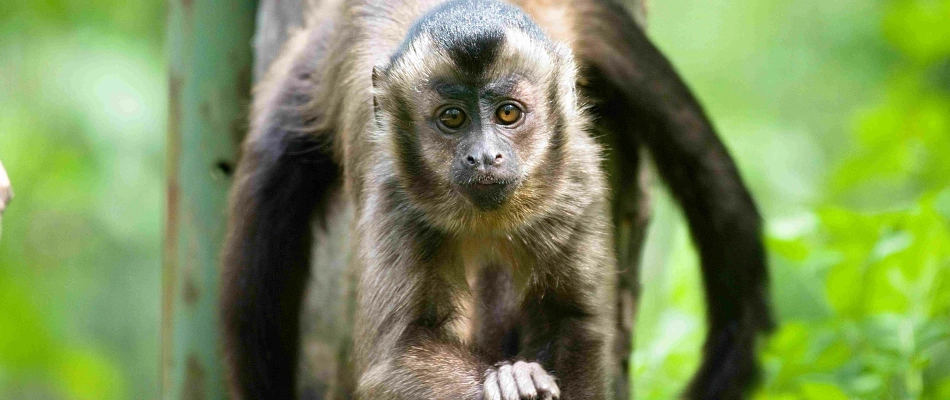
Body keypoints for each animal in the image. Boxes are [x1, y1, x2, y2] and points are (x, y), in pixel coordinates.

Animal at [223, 0, 772, 400]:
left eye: (509, 114)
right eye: (452, 119)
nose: (484, 156)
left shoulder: (574, 181)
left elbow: (577, 323)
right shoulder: (395, 192)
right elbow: (398, 356)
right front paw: (507, 381)